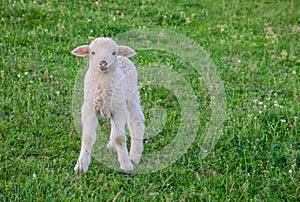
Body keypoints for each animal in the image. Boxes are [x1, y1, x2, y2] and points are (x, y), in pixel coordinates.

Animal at [71, 37, 144, 173]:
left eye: (113, 53)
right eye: (93, 52)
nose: (103, 63)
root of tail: (123, 58)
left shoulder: (118, 109)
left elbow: (119, 138)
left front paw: (126, 165)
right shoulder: (89, 109)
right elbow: (88, 137)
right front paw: (81, 165)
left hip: (131, 95)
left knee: (136, 122)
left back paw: (134, 156)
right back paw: (111, 146)